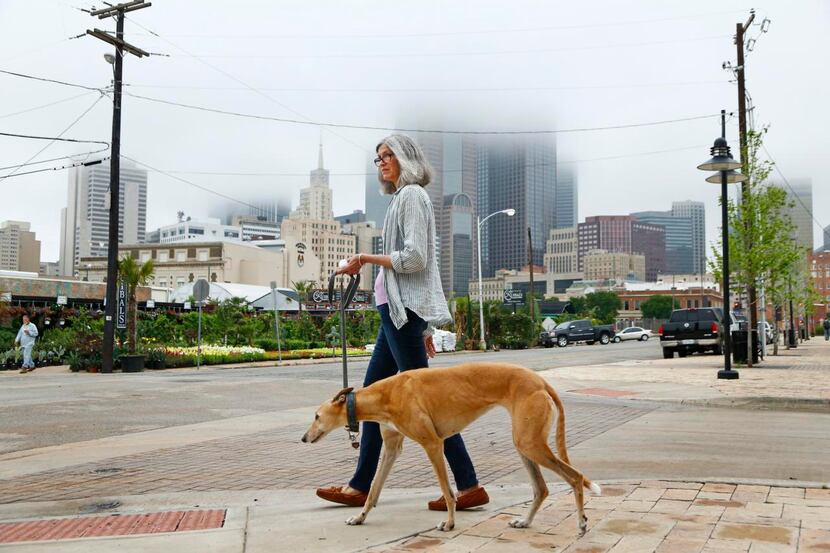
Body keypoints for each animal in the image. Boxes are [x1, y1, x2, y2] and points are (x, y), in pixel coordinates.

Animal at [302, 360, 600, 532]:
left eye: (316, 416)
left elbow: (447, 491)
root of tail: (541, 381)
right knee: (541, 488)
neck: (385, 394)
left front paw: (449, 522)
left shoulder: (433, 444)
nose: (304, 438)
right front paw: (359, 518)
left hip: (530, 443)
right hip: (524, 444)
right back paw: (525, 522)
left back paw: (582, 523)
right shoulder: (392, 449)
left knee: (576, 477)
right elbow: (374, 490)